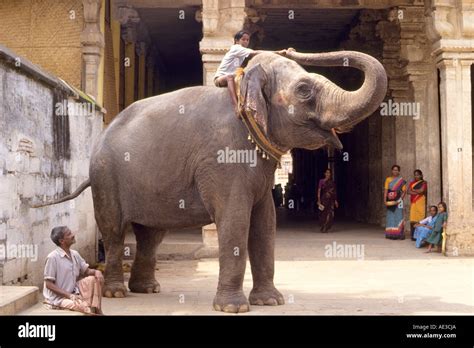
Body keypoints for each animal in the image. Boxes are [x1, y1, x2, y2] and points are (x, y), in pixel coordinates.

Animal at [34, 49, 388, 312]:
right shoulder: (221, 159)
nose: (289, 48)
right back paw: (118, 294)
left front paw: (270, 302)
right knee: (114, 231)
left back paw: (148, 289)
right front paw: (234, 308)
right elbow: (234, 220)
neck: (242, 88)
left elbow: (266, 222)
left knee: (151, 235)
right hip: (106, 175)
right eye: (304, 90)